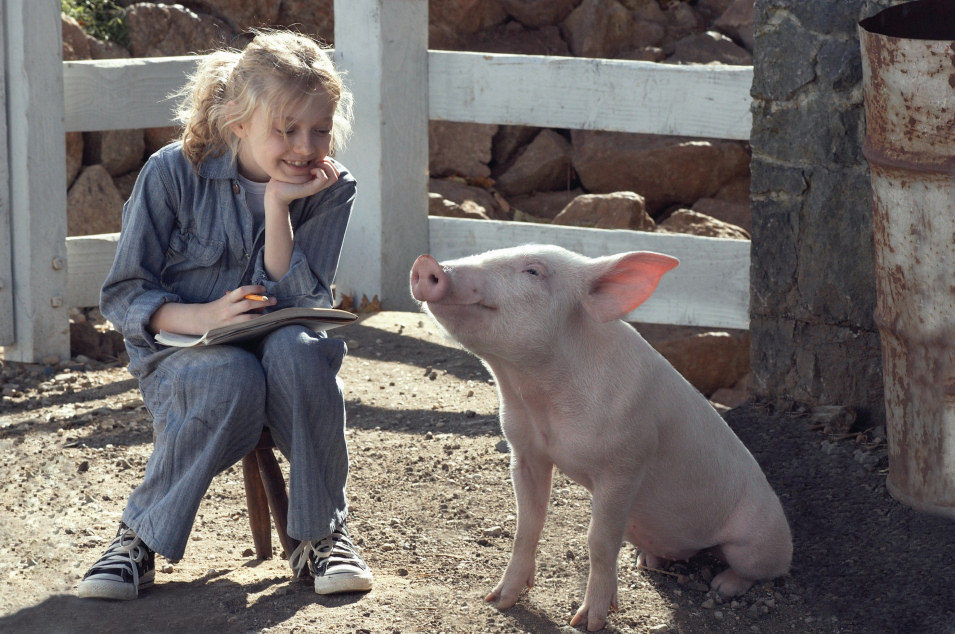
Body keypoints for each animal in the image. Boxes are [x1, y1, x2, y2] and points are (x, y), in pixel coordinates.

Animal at [408, 244, 792, 628]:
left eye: (533, 271)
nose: (427, 264)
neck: (536, 397)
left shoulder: (625, 463)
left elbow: (599, 541)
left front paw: (587, 622)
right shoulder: (525, 450)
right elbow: (527, 524)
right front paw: (498, 600)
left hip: (759, 539)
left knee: (761, 569)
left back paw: (722, 586)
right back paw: (647, 561)